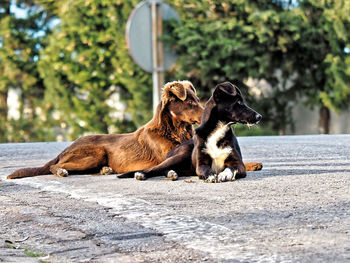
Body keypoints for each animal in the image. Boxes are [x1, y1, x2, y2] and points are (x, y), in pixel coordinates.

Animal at [6, 80, 204, 179]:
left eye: (197, 99)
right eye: (191, 102)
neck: (172, 130)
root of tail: (66, 148)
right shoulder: (168, 154)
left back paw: (105, 170)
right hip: (95, 153)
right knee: (55, 166)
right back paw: (62, 171)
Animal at [119, 83, 262, 184]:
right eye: (238, 103)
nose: (259, 116)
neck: (218, 130)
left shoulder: (239, 165)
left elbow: (231, 168)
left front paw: (223, 174)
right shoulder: (200, 164)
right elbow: (206, 170)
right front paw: (211, 175)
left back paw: (172, 173)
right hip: (181, 155)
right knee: (155, 169)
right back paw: (141, 174)